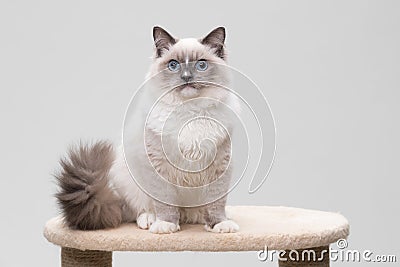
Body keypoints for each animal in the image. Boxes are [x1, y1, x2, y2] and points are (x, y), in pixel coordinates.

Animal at [54, 25, 239, 234]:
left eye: (201, 65)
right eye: (173, 65)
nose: (186, 77)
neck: (189, 111)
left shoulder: (219, 166)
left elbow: (216, 204)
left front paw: (219, 224)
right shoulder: (158, 165)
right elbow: (165, 204)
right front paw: (166, 225)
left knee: (192, 212)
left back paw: (200, 218)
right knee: (139, 210)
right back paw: (151, 220)